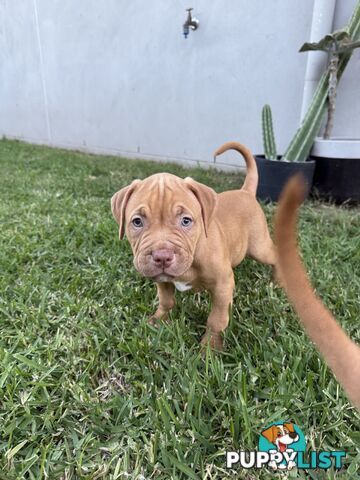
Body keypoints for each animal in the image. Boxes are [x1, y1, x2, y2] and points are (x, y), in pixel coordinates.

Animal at [112, 142, 276, 348]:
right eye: (137, 222)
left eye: (186, 221)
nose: (162, 256)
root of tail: (245, 192)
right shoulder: (162, 280)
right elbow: (166, 301)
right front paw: (158, 320)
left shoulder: (222, 284)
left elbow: (217, 318)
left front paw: (210, 346)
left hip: (259, 247)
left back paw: (277, 281)